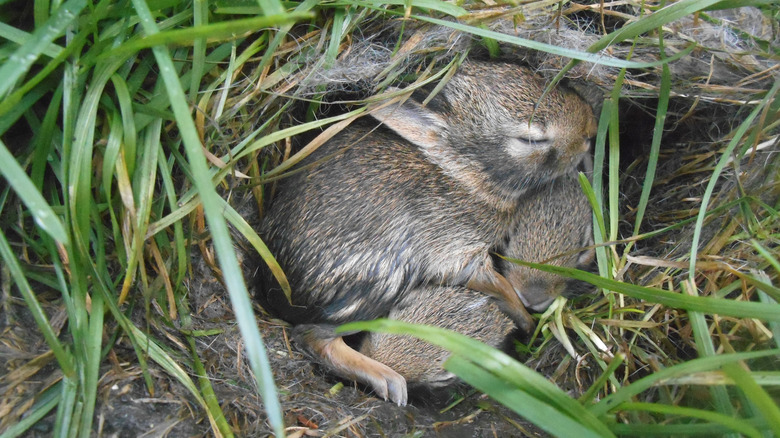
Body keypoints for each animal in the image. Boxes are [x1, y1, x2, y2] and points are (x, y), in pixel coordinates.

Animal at [255, 60, 597, 405]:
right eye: (530, 141)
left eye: (524, 70)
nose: (589, 131)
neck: (463, 172)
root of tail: (276, 292)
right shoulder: (458, 250)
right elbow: (500, 287)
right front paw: (524, 320)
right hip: (375, 287)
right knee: (314, 338)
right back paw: (388, 380)